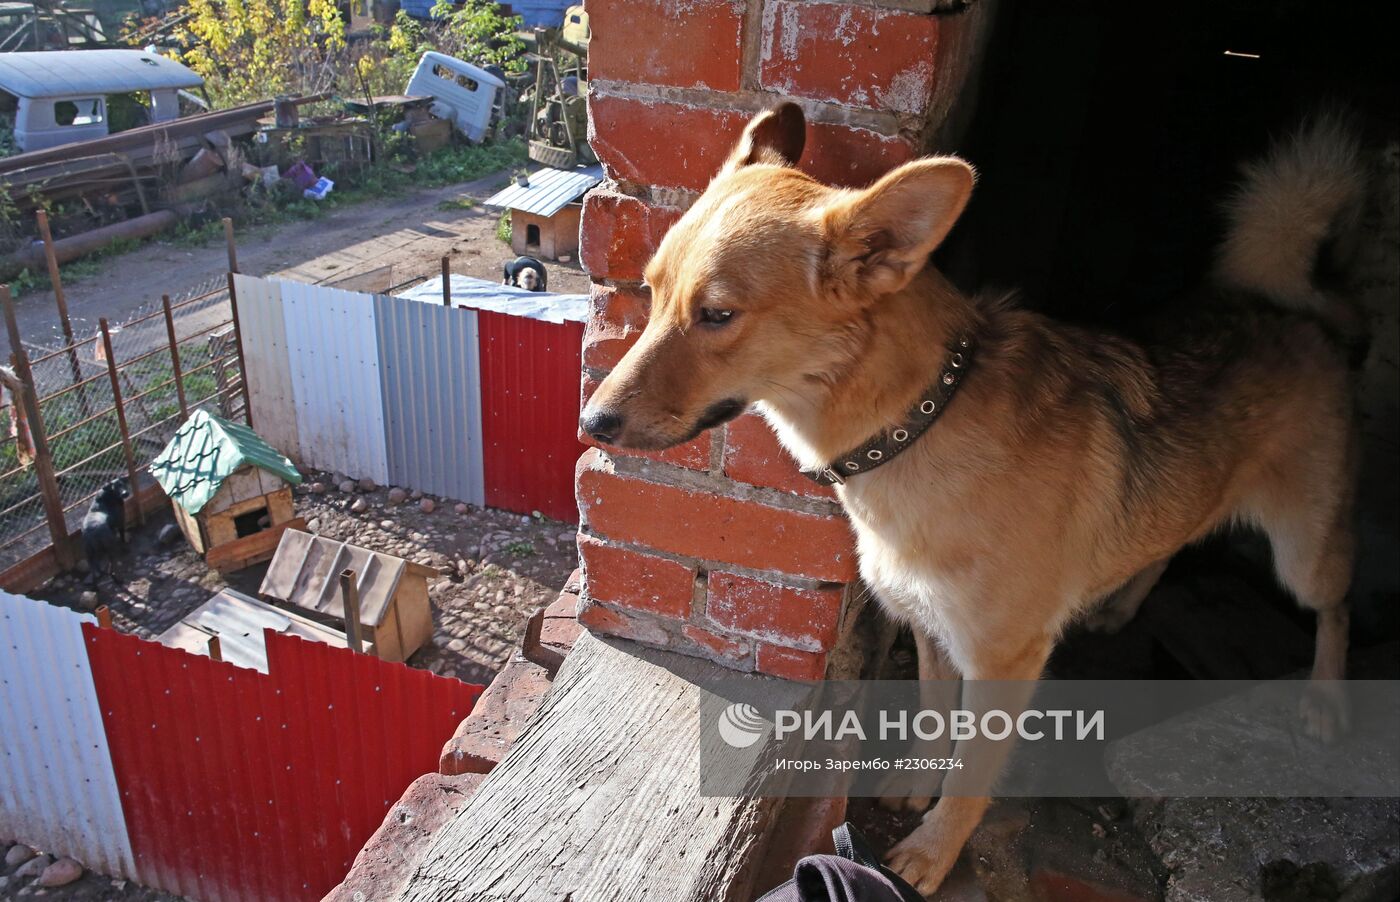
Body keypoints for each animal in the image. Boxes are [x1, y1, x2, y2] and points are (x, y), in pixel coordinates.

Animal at [579, 102, 1366, 890]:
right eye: (652, 290)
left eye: (716, 315)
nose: (591, 423)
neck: (920, 423)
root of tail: (1280, 307)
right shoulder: (931, 629)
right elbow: (935, 721)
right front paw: (915, 786)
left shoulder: (1006, 657)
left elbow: (971, 772)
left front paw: (933, 850)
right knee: (1171, 543)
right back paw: (1122, 607)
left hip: (1302, 551)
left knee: (1335, 606)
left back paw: (1328, 701)